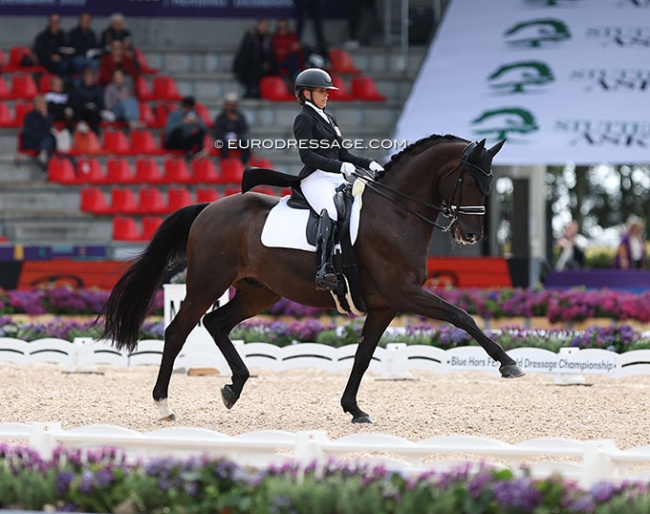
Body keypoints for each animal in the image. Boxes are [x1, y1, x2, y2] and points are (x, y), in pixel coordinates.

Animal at [104, 134, 524, 422]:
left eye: (490, 183)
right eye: (470, 182)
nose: (470, 235)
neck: (397, 211)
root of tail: (209, 208)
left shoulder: (386, 305)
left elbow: (363, 355)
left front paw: (353, 408)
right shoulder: (404, 292)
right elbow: (461, 316)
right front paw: (508, 364)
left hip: (259, 292)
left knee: (216, 323)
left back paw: (234, 386)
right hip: (207, 283)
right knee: (178, 330)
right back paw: (164, 405)